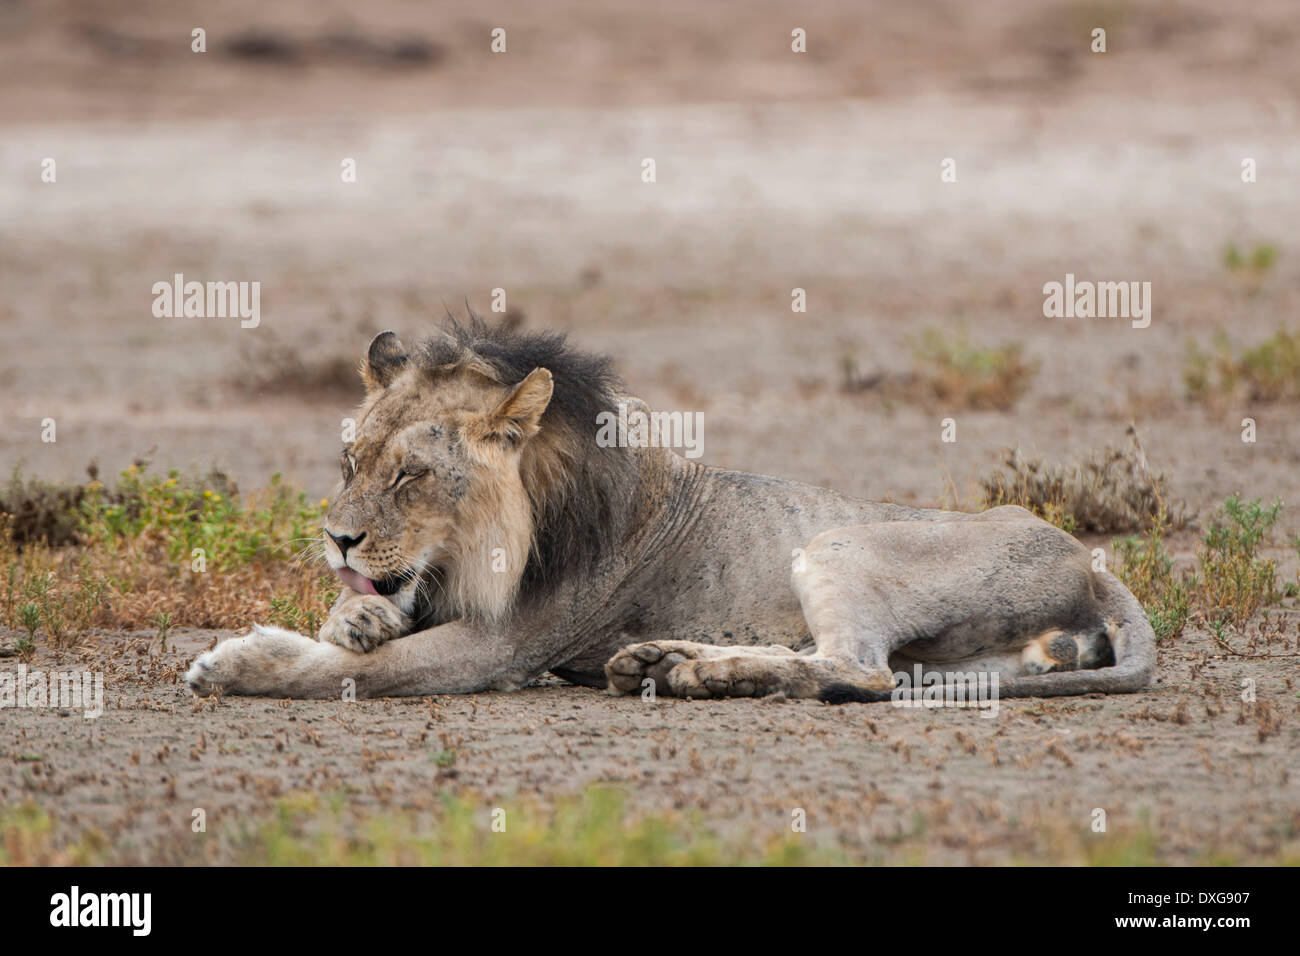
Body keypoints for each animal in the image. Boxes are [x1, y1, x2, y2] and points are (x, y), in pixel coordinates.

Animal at [185, 321, 1159, 702]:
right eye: (351, 462)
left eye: (411, 476)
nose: (336, 539)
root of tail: (1091, 563)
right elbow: (361, 632)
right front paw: (351, 617)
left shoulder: (506, 645)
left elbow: (358, 673)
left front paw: (241, 661)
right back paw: (665, 663)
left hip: (840, 540)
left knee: (861, 671)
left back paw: (699, 673)